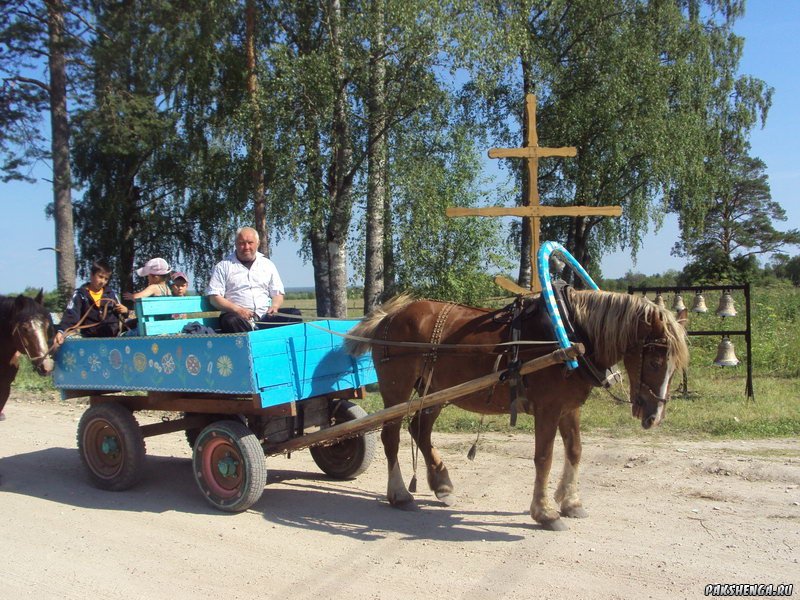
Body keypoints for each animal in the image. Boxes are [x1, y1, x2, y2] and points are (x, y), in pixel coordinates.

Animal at [346, 290, 692, 528]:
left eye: (675, 365)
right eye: (656, 360)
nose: (653, 417)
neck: (569, 335)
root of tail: (391, 314)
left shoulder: (569, 409)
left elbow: (575, 451)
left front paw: (571, 501)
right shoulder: (548, 409)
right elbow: (544, 457)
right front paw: (545, 512)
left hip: (434, 392)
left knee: (420, 428)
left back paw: (442, 484)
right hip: (397, 391)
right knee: (392, 437)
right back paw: (400, 494)